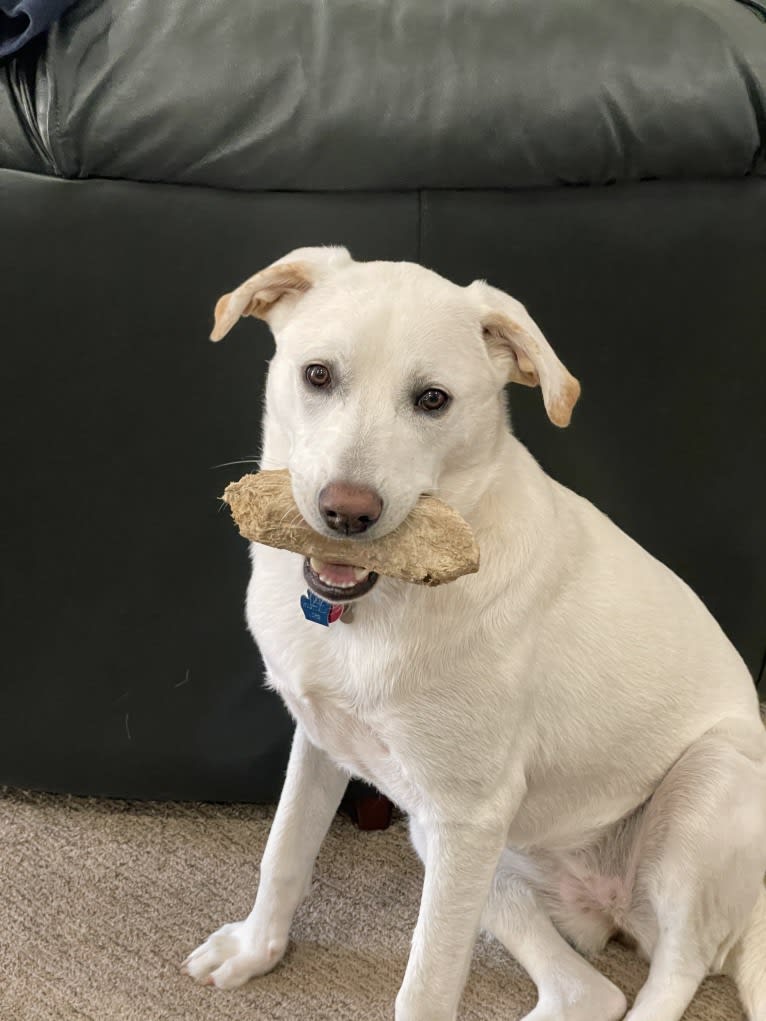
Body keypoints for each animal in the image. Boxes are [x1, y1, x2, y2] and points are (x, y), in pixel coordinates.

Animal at [181, 249, 766, 1021]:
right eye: (318, 375)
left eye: (434, 400)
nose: (347, 514)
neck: (377, 607)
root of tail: (609, 906)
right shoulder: (324, 742)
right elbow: (284, 853)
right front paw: (255, 950)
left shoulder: (469, 819)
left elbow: (426, 987)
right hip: (448, 845)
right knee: (589, 990)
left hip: (706, 781)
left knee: (678, 967)